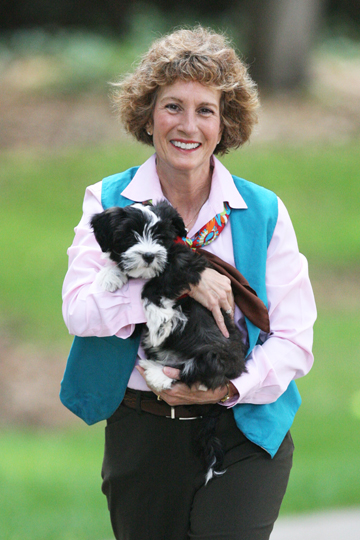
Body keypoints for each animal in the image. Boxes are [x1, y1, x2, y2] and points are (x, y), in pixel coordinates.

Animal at [91, 201, 246, 480]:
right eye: (130, 235)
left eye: (160, 236)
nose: (149, 256)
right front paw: (108, 275)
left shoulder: (184, 266)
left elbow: (154, 285)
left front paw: (160, 320)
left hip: (214, 353)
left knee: (197, 373)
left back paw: (156, 372)